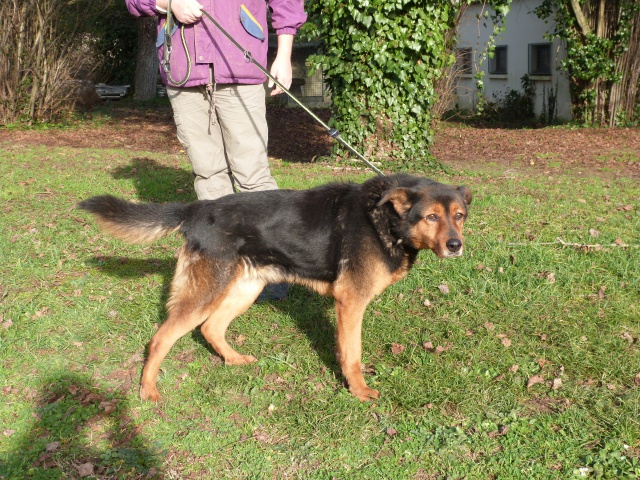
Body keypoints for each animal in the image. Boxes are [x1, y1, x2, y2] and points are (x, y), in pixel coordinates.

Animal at [79, 175, 470, 402]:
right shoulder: (351, 302)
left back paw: (234, 360)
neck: (386, 218)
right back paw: (148, 390)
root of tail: (197, 209)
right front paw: (358, 391)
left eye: (459, 216)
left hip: (244, 289)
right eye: (431, 217)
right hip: (208, 292)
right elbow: (352, 354)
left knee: (211, 328)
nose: (456, 246)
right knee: (162, 338)